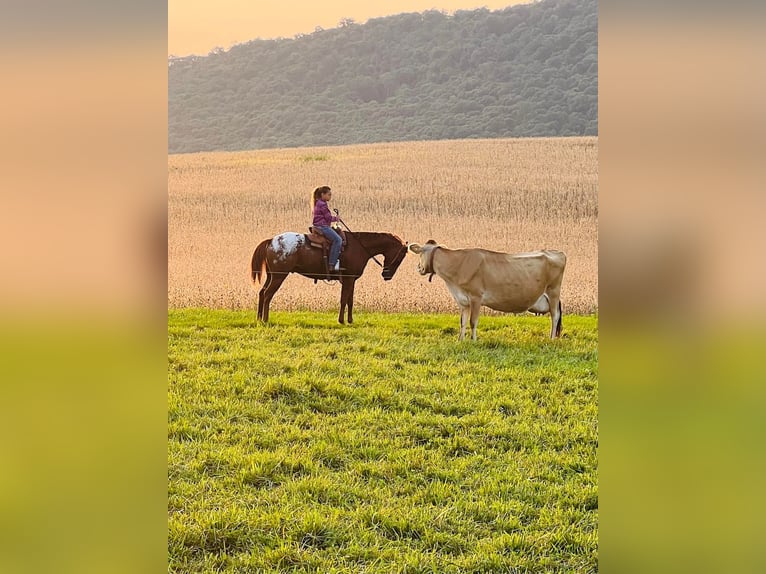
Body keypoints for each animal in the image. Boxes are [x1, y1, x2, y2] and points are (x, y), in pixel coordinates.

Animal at [250, 233, 408, 324]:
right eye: (401, 255)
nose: (386, 275)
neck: (359, 247)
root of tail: (271, 241)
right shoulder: (348, 279)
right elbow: (344, 299)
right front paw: (341, 321)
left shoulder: (351, 279)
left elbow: (350, 300)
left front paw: (350, 320)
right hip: (279, 276)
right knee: (268, 294)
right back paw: (265, 320)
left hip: (271, 276)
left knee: (262, 292)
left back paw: (258, 318)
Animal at [412, 240, 568, 342]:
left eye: (420, 253)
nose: (418, 268)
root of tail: (557, 252)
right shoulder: (463, 301)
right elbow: (462, 321)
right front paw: (460, 340)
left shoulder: (476, 297)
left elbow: (472, 321)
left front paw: (473, 340)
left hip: (553, 292)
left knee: (555, 316)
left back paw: (551, 339)